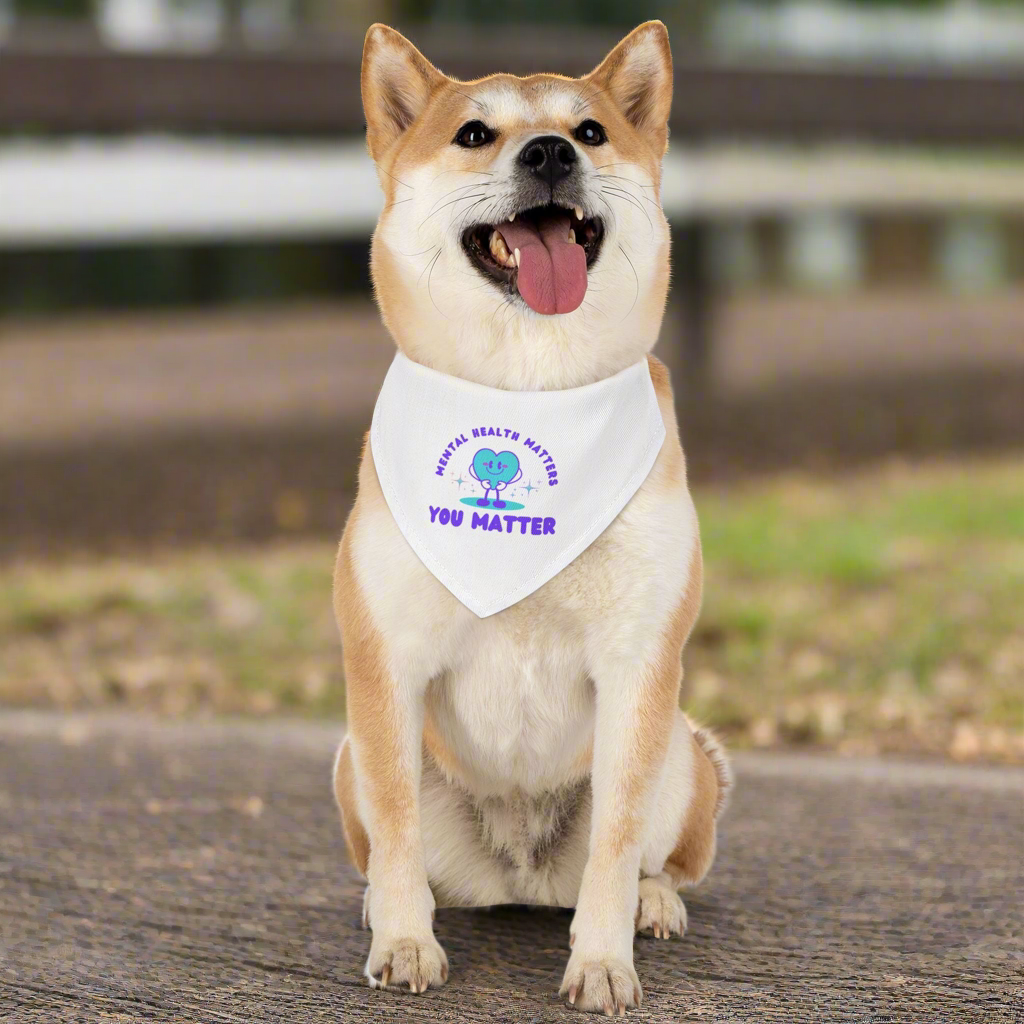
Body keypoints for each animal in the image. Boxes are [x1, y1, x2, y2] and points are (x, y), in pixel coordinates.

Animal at [331, 19, 733, 1011]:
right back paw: (383, 903)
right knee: (391, 846)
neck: (528, 391)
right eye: (475, 133)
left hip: (684, 752)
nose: (550, 152)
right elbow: (397, 830)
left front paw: (602, 960)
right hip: (348, 757)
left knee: (656, 855)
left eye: (589, 131)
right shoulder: (386, 664)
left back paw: (653, 903)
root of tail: (519, 874)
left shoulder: (638, 664)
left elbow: (618, 842)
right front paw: (405, 941)